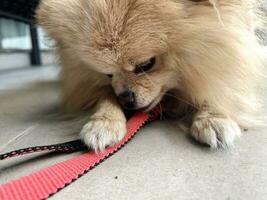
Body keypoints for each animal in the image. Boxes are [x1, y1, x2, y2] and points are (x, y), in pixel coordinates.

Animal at [36, 0, 266, 150]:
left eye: (146, 65)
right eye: (108, 75)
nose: (126, 99)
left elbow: (223, 84)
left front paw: (214, 117)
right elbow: (105, 97)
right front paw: (104, 122)